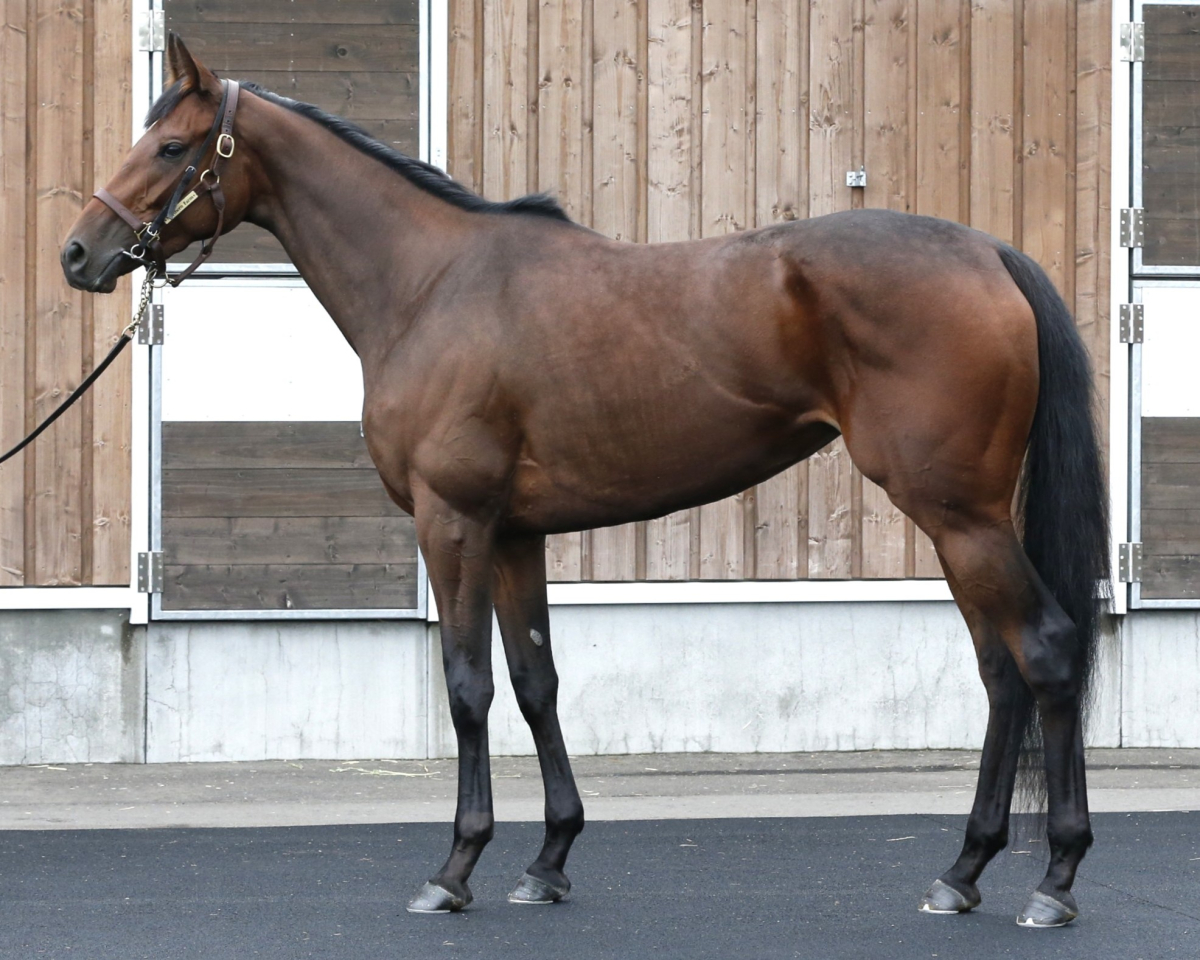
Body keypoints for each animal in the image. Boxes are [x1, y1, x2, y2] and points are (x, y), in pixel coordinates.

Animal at [62, 34, 1108, 928]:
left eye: (170, 145)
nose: (80, 253)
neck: (430, 283)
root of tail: (989, 253)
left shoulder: (453, 523)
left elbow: (468, 686)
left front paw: (455, 868)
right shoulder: (516, 533)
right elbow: (536, 682)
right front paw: (548, 860)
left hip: (958, 513)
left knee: (1047, 652)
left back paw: (1053, 878)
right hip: (959, 524)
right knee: (1002, 674)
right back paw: (963, 870)